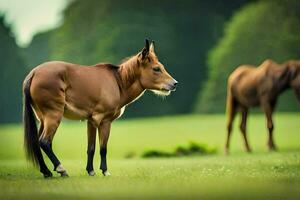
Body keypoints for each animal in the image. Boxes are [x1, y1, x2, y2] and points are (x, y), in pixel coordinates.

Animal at [24, 39, 178, 178]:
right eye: (156, 69)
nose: (174, 83)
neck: (118, 82)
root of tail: (34, 73)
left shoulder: (90, 122)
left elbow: (91, 148)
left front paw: (90, 171)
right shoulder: (104, 121)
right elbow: (103, 148)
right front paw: (105, 171)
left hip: (43, 119)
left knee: (37, 143)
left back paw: (46, 172)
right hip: (53, 116)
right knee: (45, 142)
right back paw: (61, 169)